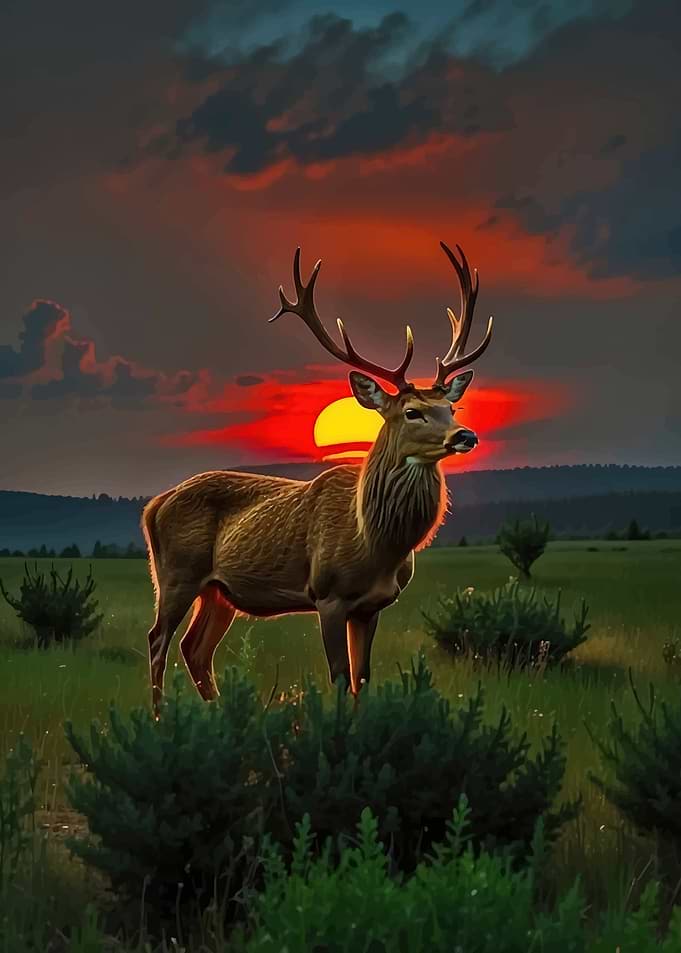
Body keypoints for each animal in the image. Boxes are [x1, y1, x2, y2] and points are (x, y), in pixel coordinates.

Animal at [142, 241, 493, 718]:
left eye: (451, 408)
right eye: (412, 411)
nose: (465, 435)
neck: (373, 542)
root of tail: (155, 504)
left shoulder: (372, 605)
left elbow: (362, 677)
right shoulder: (328, 594)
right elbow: (341, 677)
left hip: (218, 591)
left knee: (196, 649)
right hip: (176, 572)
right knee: (158, 640)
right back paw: (161, 718)